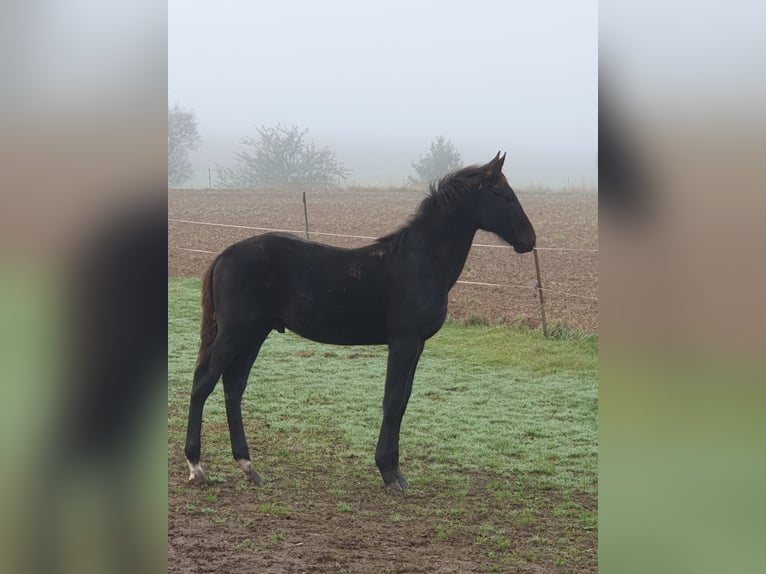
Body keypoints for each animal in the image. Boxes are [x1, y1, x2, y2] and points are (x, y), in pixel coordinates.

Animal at [184, 153, 536, 496]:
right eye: (506, 196)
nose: (529, 240)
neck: (419, 262)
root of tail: (223, 255)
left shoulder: (417, 345)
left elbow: (403, 401)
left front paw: (398, 472)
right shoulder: (403, 342)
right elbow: (392, 401)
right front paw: (388, 474)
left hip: (255, 334)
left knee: (233, 386)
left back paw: (249, 467)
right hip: (235, 333)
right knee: (203, 382)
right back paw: (196, 467)